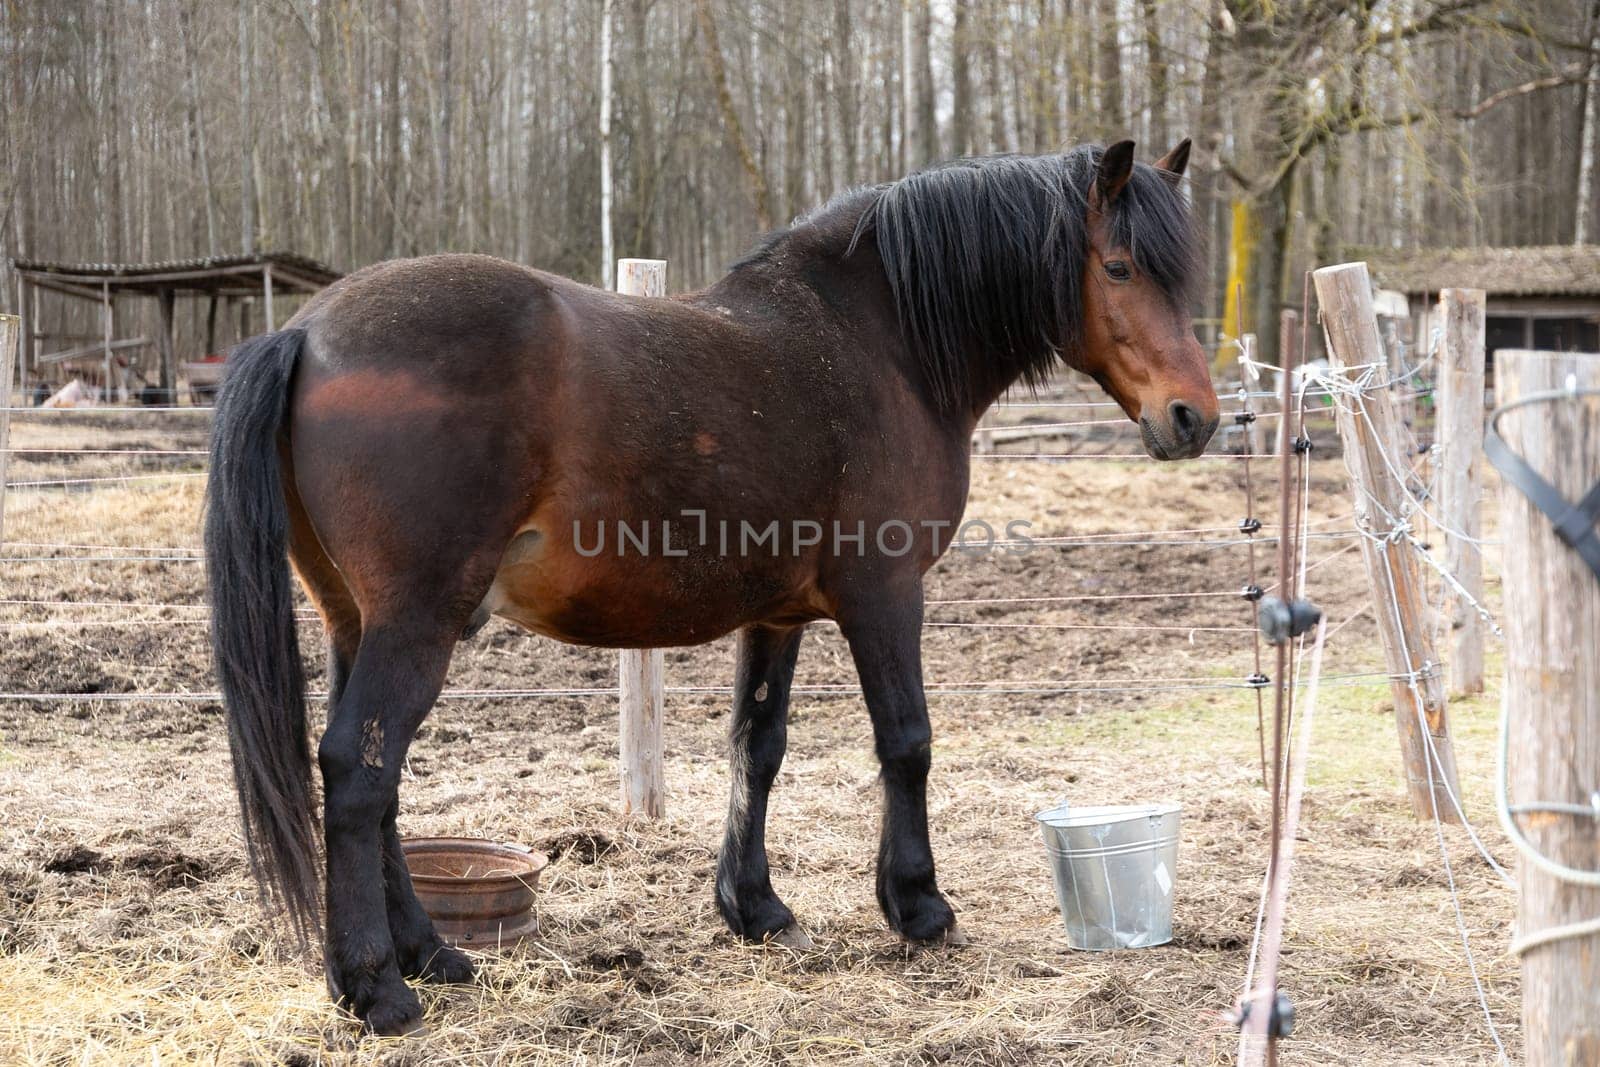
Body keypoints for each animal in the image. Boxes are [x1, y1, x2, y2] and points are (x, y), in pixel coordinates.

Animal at [206, 141, 1216, 1036]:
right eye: (1119, 266)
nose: (1194, 417)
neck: (878, 343)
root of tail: (304, 331)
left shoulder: (778, 614)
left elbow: (755, 747)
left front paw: (755, 906)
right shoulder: (885, 596)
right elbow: (907, 741)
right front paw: (918, 904)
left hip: (356, 620)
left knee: (369, 780)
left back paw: (429, 953)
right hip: (419, 619)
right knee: (359, 771)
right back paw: (377, 988)